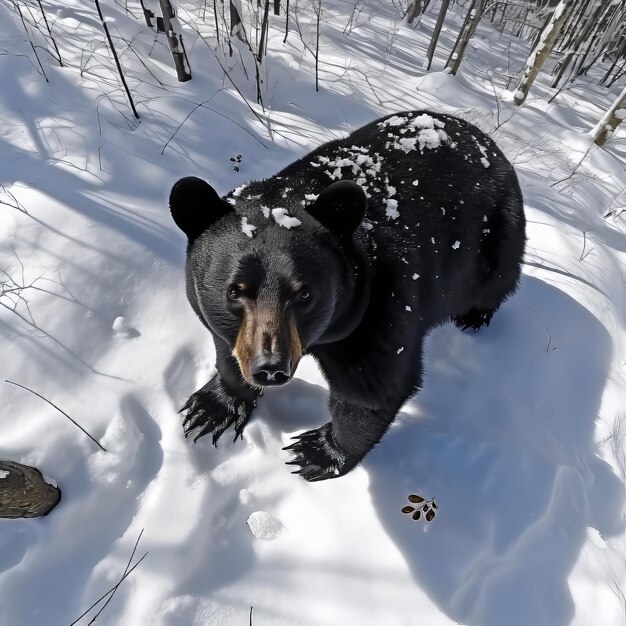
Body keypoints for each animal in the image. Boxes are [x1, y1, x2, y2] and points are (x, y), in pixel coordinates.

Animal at [168, 109, 524, 480]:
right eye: (234, 292)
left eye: (304, 294)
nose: (271, 368)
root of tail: (490, 144)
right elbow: (226, 349)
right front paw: (211, 408)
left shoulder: (377, 307)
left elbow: (373, 388)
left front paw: (318, 451)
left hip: (495, 240)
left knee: (497, 280)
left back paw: (475, 316)